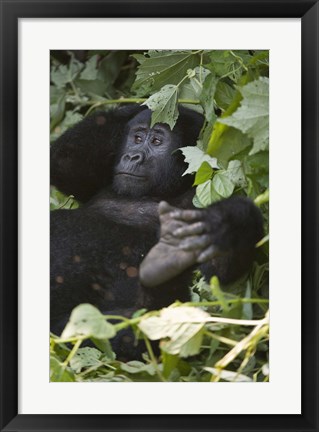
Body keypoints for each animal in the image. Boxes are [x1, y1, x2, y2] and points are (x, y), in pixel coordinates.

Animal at [50, 105, 264, 362]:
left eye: (156, 141)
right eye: (137, 138)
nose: (132, 156)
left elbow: (217, 275)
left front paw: (230, 224)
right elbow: (65, 162)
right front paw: (140, 107)